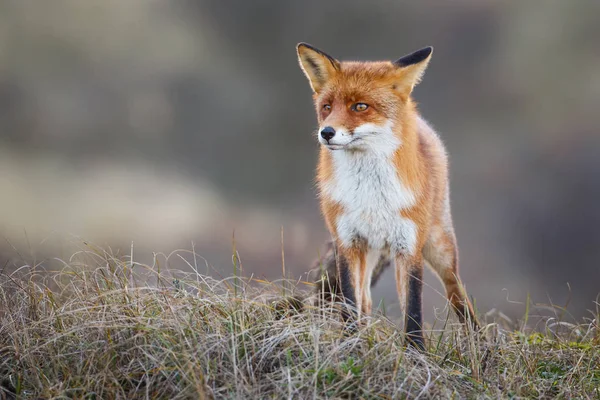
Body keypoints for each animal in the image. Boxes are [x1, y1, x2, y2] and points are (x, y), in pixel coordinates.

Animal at [298, 43, 480, 346]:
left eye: (360, 106)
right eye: (327, 107)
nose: (326, 132)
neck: (372, 196)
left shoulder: (409, 246)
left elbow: (413, 311)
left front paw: (417, 352)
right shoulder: (348, 242)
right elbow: (350, 303)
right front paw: (351, 344)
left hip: (439, 247)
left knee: (458, 294)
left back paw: (480, 345)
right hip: (369, 252)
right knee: (366, 301)